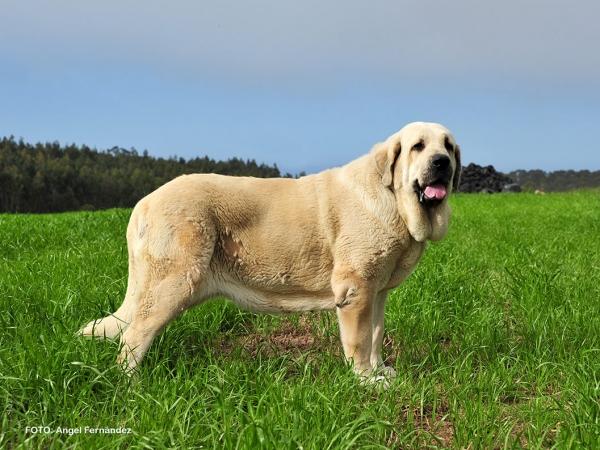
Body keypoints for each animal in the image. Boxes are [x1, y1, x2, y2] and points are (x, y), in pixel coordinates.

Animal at [79, 121, 462, 384]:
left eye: (448, 146)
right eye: (417, 147)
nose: (442, 162)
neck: (394, 200)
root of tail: (143, 202)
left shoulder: (377, 292)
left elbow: (377, 334)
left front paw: (381, 371)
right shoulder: (356, 290)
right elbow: (360, 340)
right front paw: (366, 382)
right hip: (173, 284)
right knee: (133, 337)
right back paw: (134, 386)